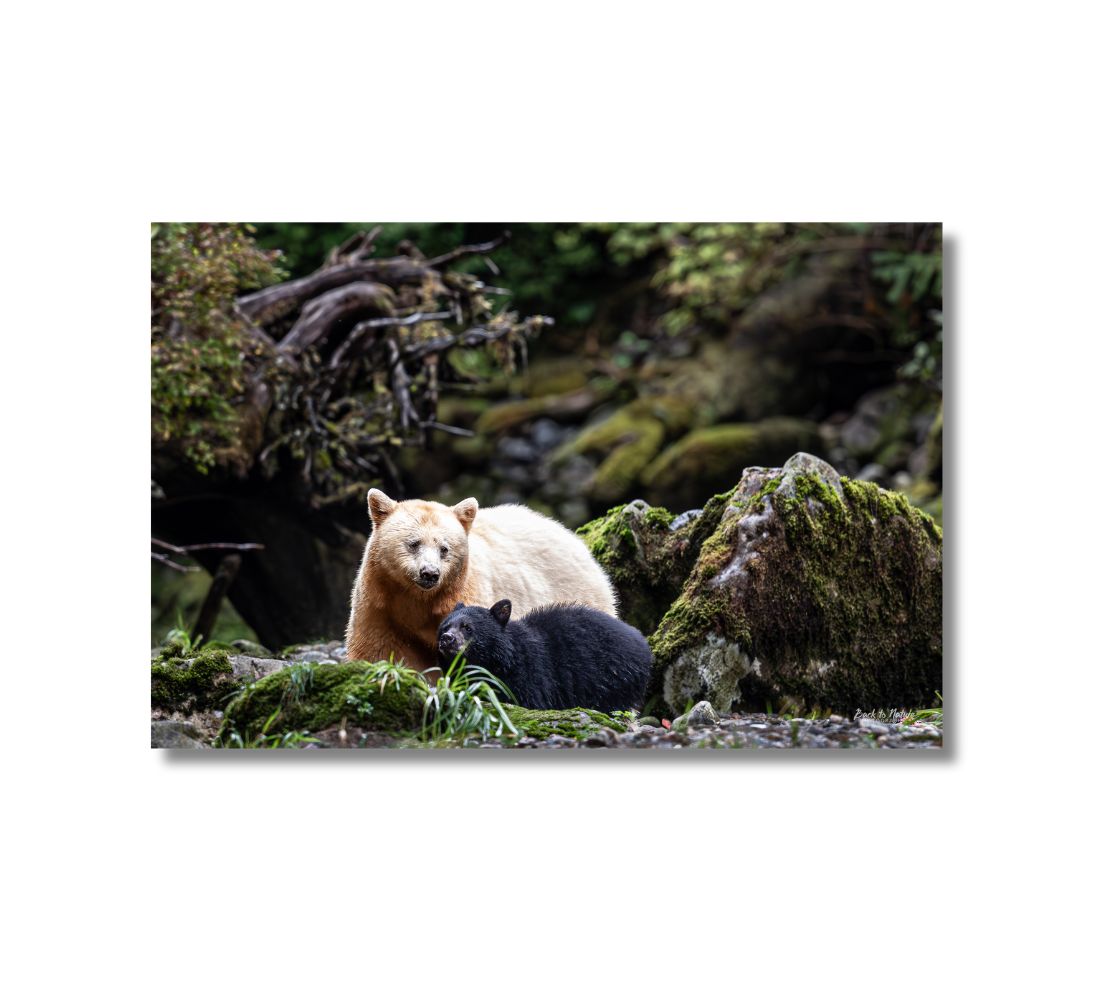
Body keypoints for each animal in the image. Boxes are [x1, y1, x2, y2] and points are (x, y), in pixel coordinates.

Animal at [345, 490, 617, 674]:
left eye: (444, 548)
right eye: (413, 543)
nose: (429, 573)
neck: (417, 600)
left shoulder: (467, 594)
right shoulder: (380, 602)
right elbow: (379, 650)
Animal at [436, 599, 651, 712]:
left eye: (467, 628)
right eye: (445, 627)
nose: (447, 639)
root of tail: (643, 643)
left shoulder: (530, 675)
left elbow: (529, 701)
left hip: (614, 679)